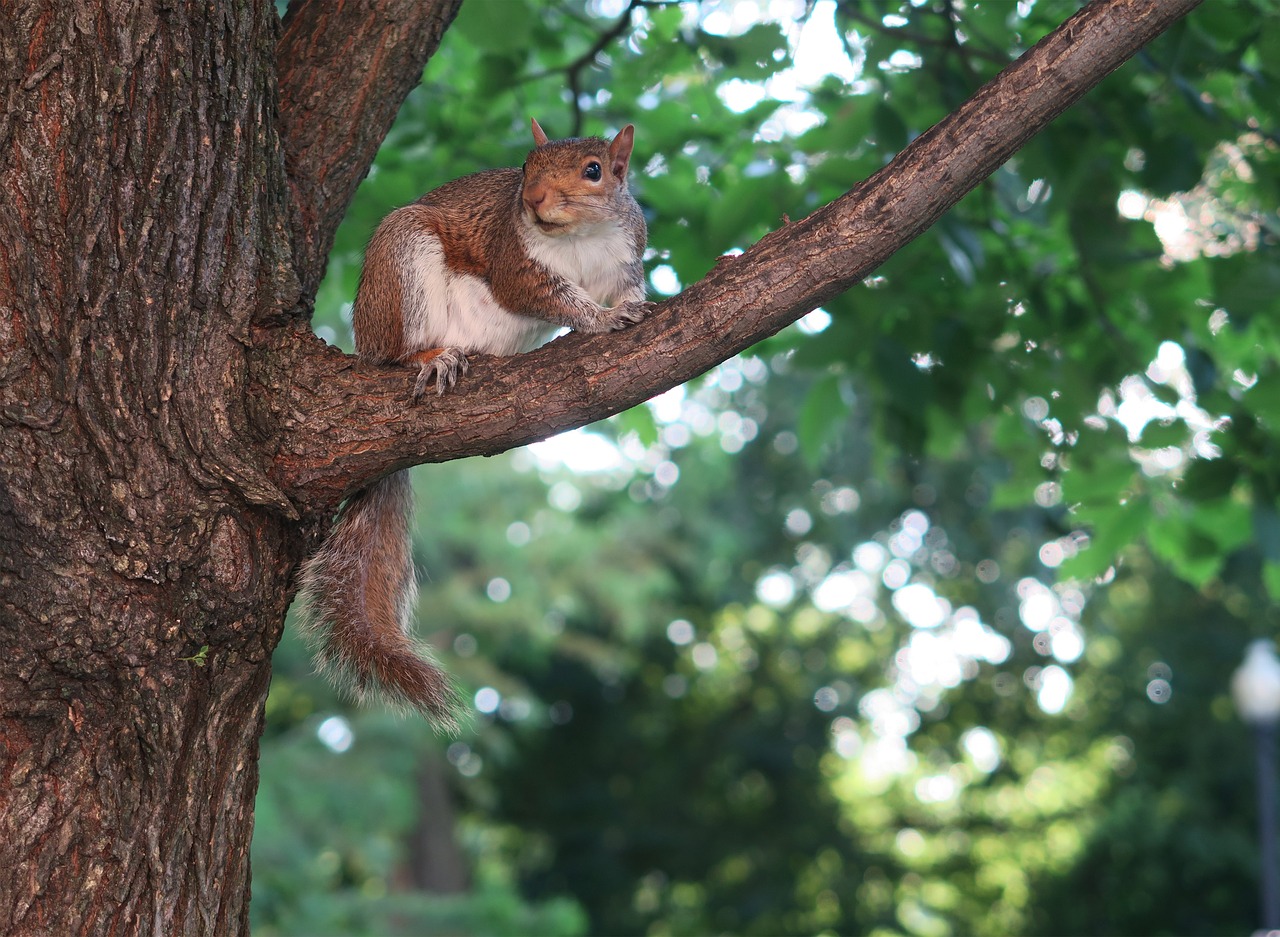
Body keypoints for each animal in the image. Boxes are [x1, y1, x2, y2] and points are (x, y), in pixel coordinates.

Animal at [298, 119, 650, 732]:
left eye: (594, 170)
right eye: (526, 164)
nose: (532, 199)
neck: (580, 236)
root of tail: (366, 340)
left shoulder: (626, 256)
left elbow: (626, 289)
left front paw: (633, 306)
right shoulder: (517, 263)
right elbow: (555, 296)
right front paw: (600, 319)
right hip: (402, 262)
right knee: (398, 354)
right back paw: (431, 358)